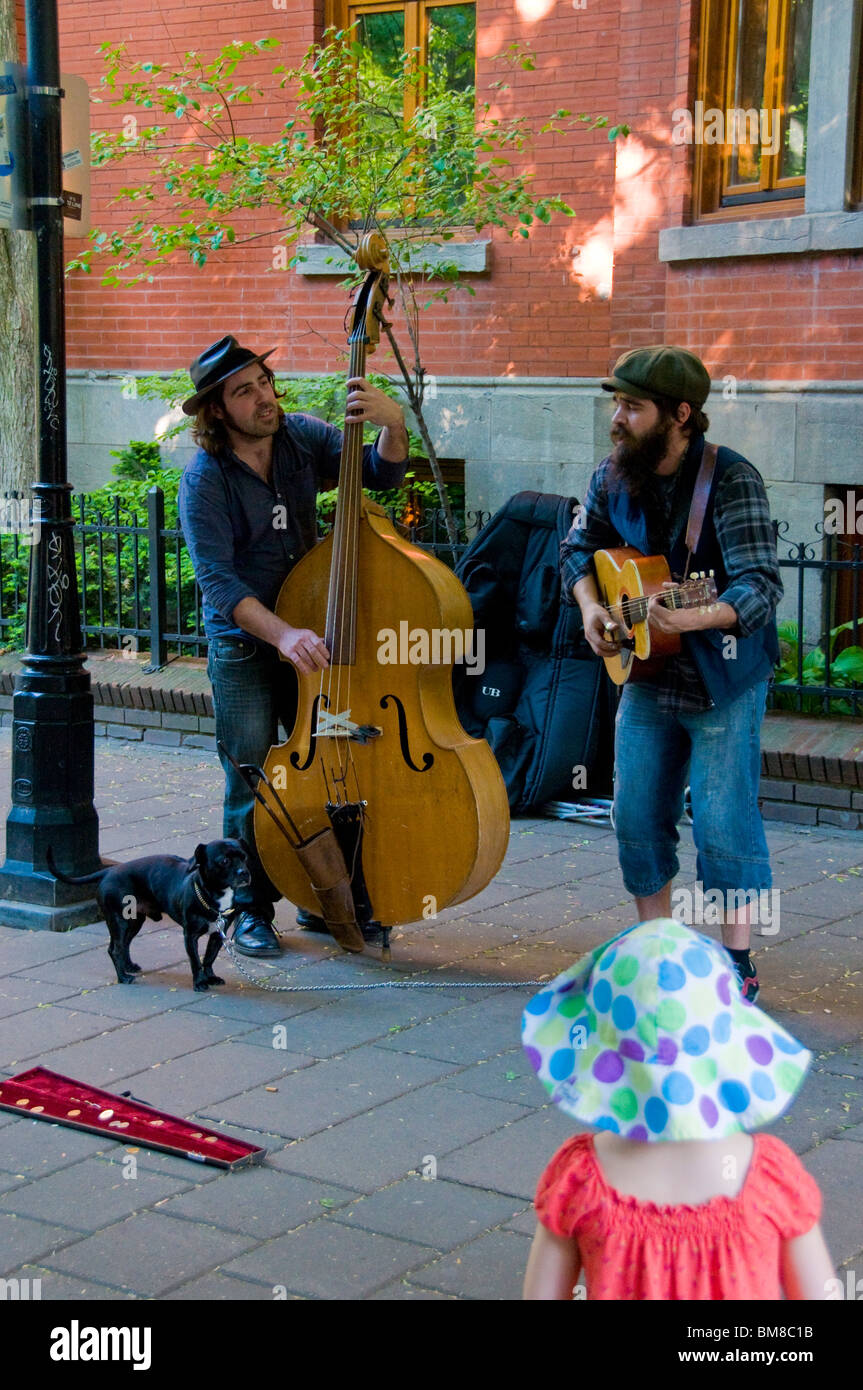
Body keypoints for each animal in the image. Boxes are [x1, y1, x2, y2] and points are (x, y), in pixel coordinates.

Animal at [47, 839, 250, 995]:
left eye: (244, 857)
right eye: (224, 861)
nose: (244, 872)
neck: (213, 894)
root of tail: (108, 871)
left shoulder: (217, 934)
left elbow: (209, 957)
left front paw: (210, 977)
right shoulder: (190, 936)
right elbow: (195, 961)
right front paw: (199, 982)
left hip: (134, 922)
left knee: (124, 945)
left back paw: (128, 966)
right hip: (119, 922)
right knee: (115, 949)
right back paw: (123, 977)